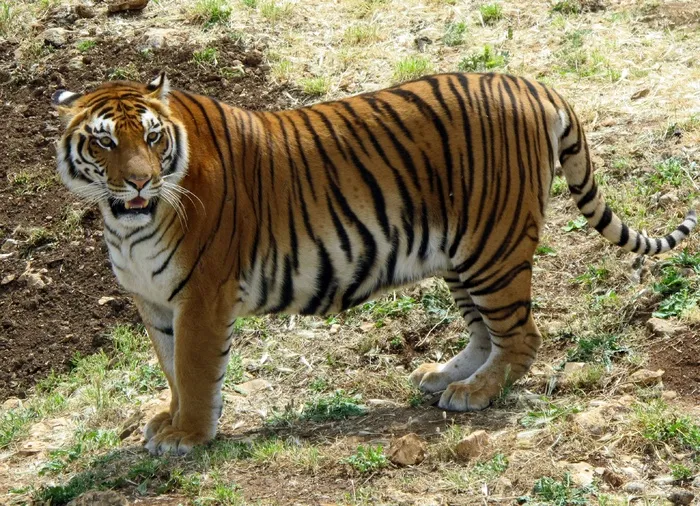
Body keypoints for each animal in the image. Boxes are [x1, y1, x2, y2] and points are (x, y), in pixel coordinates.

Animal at [52, 71, 696, 455]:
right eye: (105, 141)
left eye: (153, 138)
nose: (140, 181)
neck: (127, 223)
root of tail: (533, 84)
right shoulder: (156, 300)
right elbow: (169, 368)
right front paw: (170, 420)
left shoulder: (202, 296)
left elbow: (192, 367)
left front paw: (188, 436)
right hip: (462, 252)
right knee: (485, 330)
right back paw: (443, 376)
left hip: (493, 247)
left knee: (522, 335)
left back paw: (475, 393)